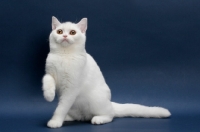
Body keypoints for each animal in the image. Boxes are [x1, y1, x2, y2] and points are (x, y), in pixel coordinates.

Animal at [42, 16, 170, 128]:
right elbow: (47, 80)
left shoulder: (71, 88)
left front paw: (55, 121)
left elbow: (61, 108)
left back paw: (98, 119)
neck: (64, 55)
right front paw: (49, 95)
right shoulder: (50, 73)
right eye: (59, 31)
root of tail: (110, 103)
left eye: (72, 32)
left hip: (96, 100)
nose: (64, 35)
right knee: (78, 116)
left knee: (110, 115)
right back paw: (68, 117)